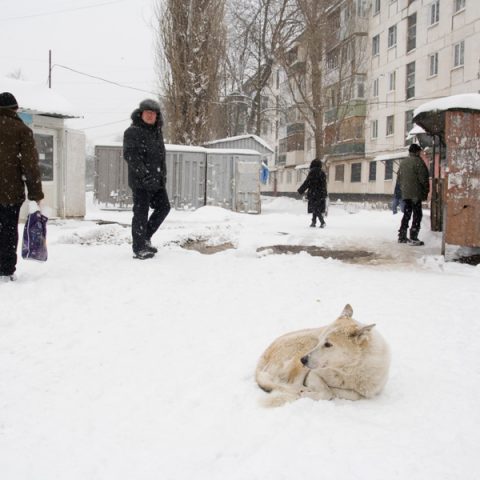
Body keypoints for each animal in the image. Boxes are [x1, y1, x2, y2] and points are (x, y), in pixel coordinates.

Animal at [255, 304, 390, 404]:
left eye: (328, 344)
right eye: (321, 340)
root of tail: (262, 359)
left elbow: (353, 394)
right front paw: (312, 392)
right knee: (292, 385)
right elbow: (327, 392)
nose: (303, 360)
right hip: (307, 345)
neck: (349, 370)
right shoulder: (313, 374)